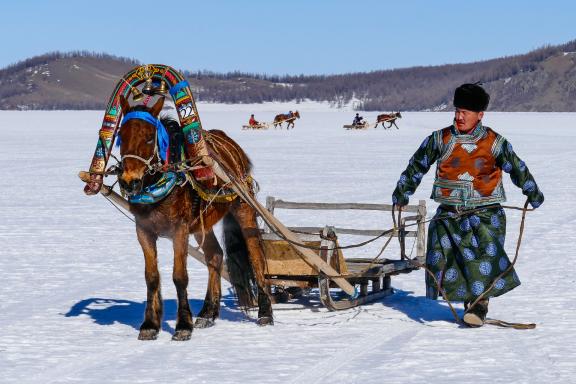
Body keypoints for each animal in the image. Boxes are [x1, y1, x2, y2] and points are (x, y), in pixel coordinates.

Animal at [117, 94, 274, 340]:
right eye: (121, 136)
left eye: (150, 137)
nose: (129, 181)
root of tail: (230, 144)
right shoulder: (143, 230)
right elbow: (151, 276)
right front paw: (150, 325)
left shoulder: (179, 230)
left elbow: (179, 276)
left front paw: (183, 326)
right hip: (202, 224)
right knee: (216, 256)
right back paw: (208, 313)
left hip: (243, 208)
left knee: (256, 256)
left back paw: (265, 312)